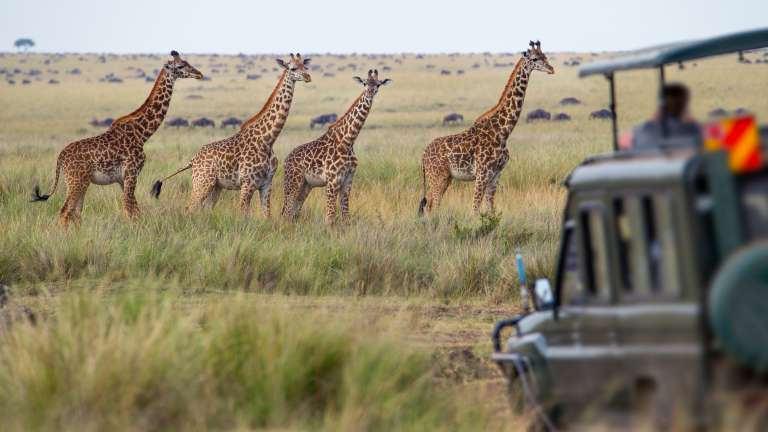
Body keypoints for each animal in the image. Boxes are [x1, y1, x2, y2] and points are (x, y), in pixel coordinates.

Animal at [31, 51, 203, 227]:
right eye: (181, 66)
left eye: (187, 62)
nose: (199, 74)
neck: (142, 134)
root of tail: (60, 157)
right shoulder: (132, 173)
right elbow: (129, 210)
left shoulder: (123, 179)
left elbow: (134, 210)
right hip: (76, 181)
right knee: (65, 211)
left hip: (80, 182)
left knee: (75, 213)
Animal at [151, 54, 311, 217]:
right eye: (293, 68)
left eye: (305, 66)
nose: (308, 77)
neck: (268, 139)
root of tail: (194, 159)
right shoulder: (247, 183)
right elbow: (243, 214)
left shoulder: (267, 183)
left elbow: (266, 215)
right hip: (202, 182)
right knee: (189, 207)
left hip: (216, 186)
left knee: (206, 209)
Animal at [281, 69, 391, 224]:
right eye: (364, 83)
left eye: (378, 84)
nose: (370, 92)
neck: (348, 141)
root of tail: (286, 160)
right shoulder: (332, 181)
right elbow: (330, 217)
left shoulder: (348, 180)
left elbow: (345, 216)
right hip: (293, 181)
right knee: (287, 211)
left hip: (306, 185)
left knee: (294, 212)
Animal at [418, 41, 554, 216]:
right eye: (535, 58)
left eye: (545, 56)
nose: (551, 69)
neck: (503, 132)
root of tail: (423, 156)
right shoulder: (482, 174)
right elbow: (475, 209)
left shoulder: (496, 175)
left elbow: (490, 209)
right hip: (438, 176)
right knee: (432, 206)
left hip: (445, 178)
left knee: (430, 204)